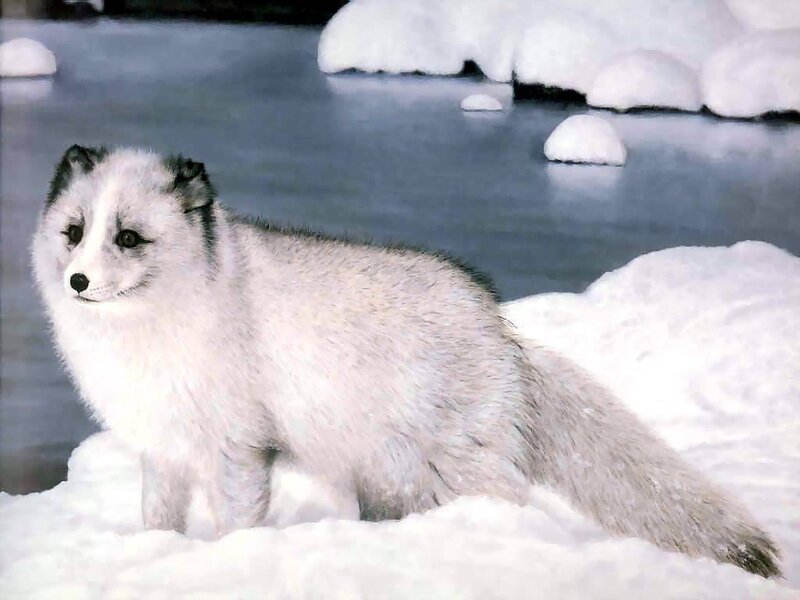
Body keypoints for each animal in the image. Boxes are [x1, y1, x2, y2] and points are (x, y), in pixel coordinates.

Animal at [32, 144, 781, 578]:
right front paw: (152, 555)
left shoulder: (238, 447)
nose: (78, 281)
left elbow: (237, 523)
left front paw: (229, 564)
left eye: (130, 238)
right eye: (75, 232)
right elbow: (156, 518)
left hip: (439, 475)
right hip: (385, 477)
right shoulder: (163, 448)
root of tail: (501, 330)